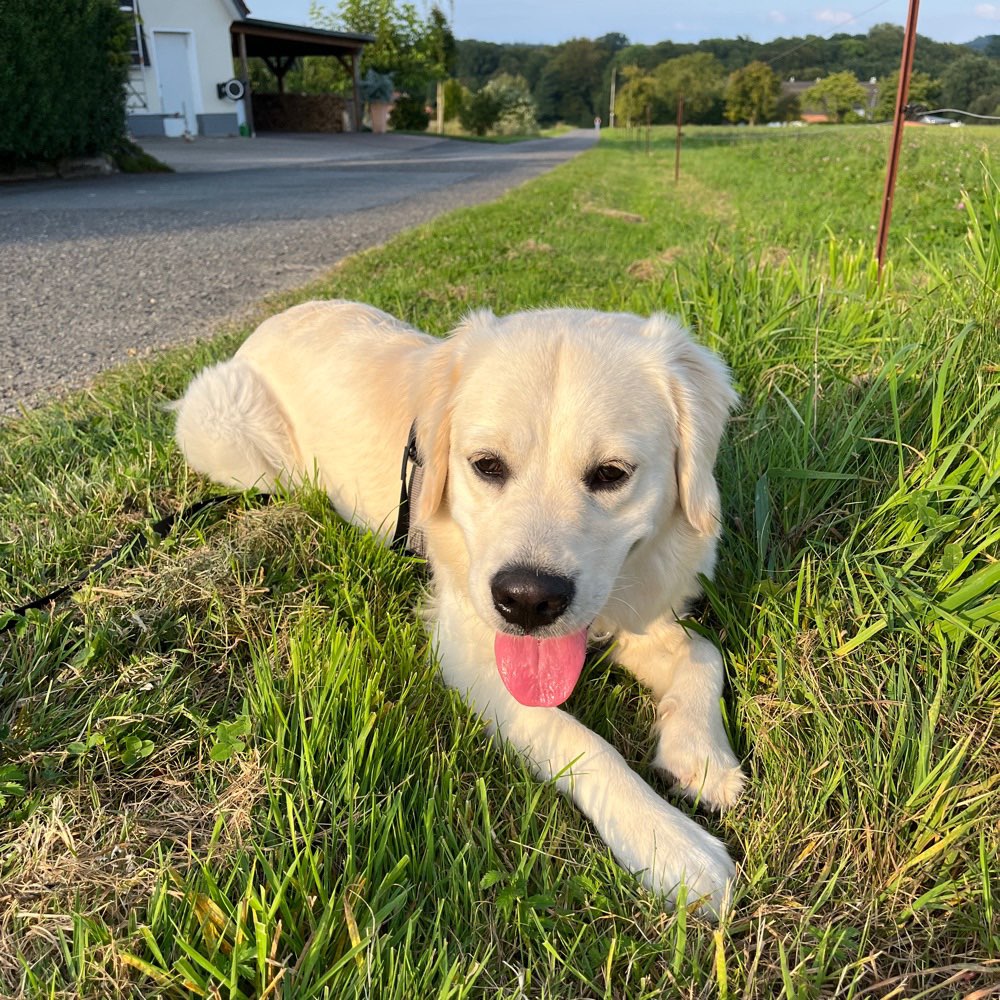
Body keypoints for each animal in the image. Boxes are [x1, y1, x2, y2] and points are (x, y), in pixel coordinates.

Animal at [176, 298, 748, 916]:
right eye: (487, 465)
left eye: (611, 474)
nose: (527, 600)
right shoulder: (469, 651)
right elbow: (580, 740)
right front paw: (670, 843)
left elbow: (704, 653)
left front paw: (702, 756)